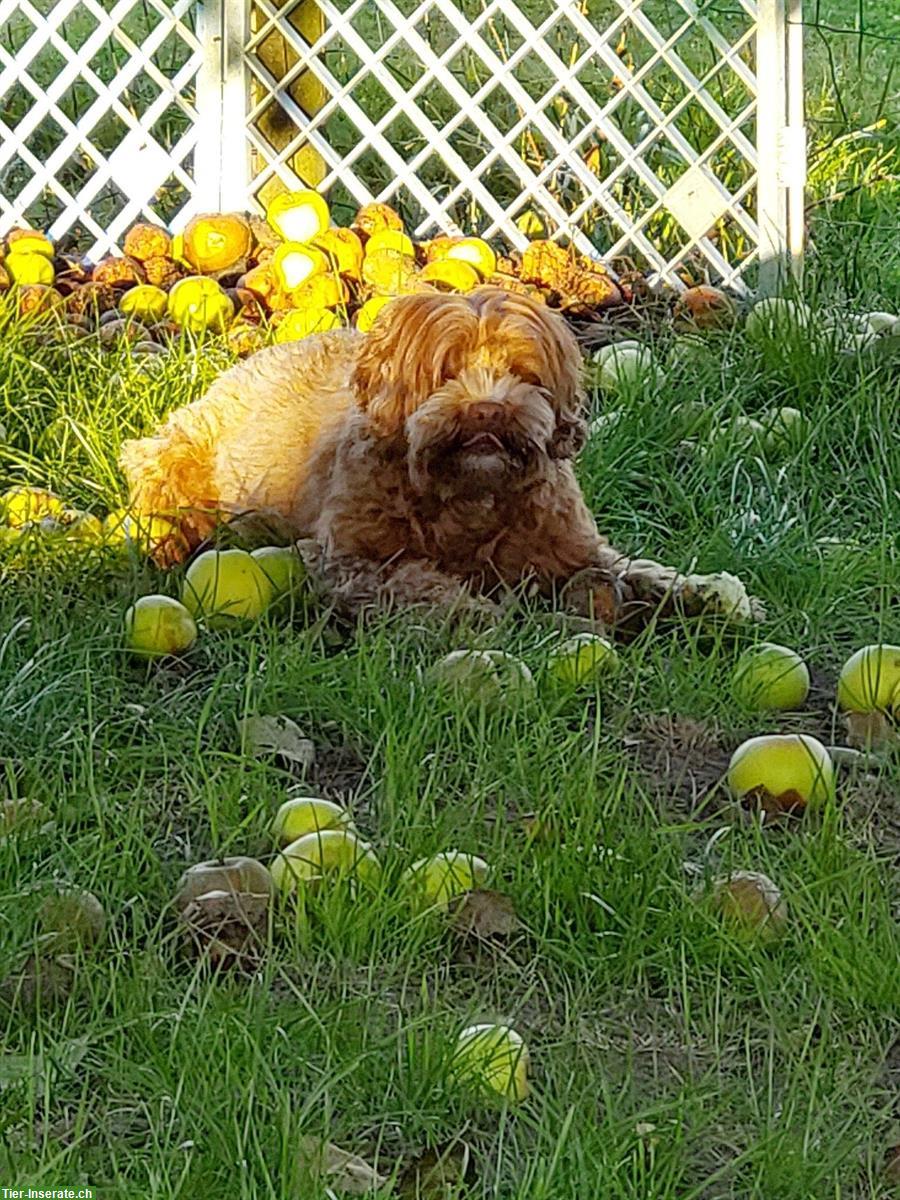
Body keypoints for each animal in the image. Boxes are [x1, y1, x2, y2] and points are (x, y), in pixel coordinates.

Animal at [118, 288, 753, 628]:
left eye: (523, 372)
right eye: (447, 371)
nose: (488, 410)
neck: (470, 498)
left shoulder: (575, 548)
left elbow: (639, 569)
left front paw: (709, 593)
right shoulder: (348, 560)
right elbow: (419, 581)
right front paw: (480, 616)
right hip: (176, 452)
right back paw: (168, 540)